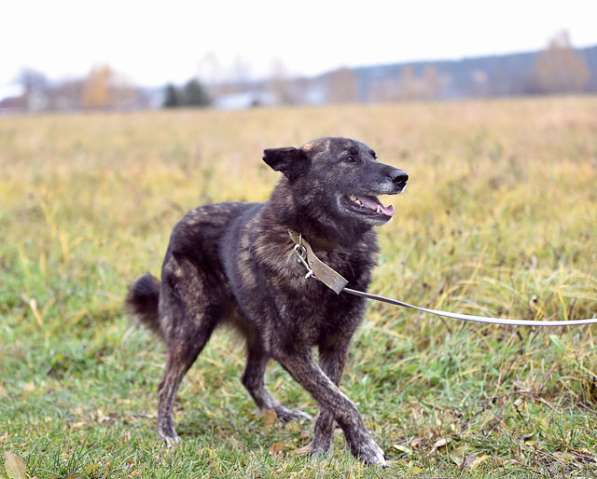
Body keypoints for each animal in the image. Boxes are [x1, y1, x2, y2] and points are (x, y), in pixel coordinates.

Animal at [125, 137, 406, 466]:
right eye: (349, 158)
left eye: (373, 155)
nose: (402, 177)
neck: (322, 250)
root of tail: (181, 223)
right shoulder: (288, 347)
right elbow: (341, 402)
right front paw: (365, 448)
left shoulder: (335, 344)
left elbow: (330, 401)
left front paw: (322, 450)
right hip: (192, 329)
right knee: (166, 384)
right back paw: (167, 432)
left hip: (258, 333)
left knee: (250, 378)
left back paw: (282, 414)